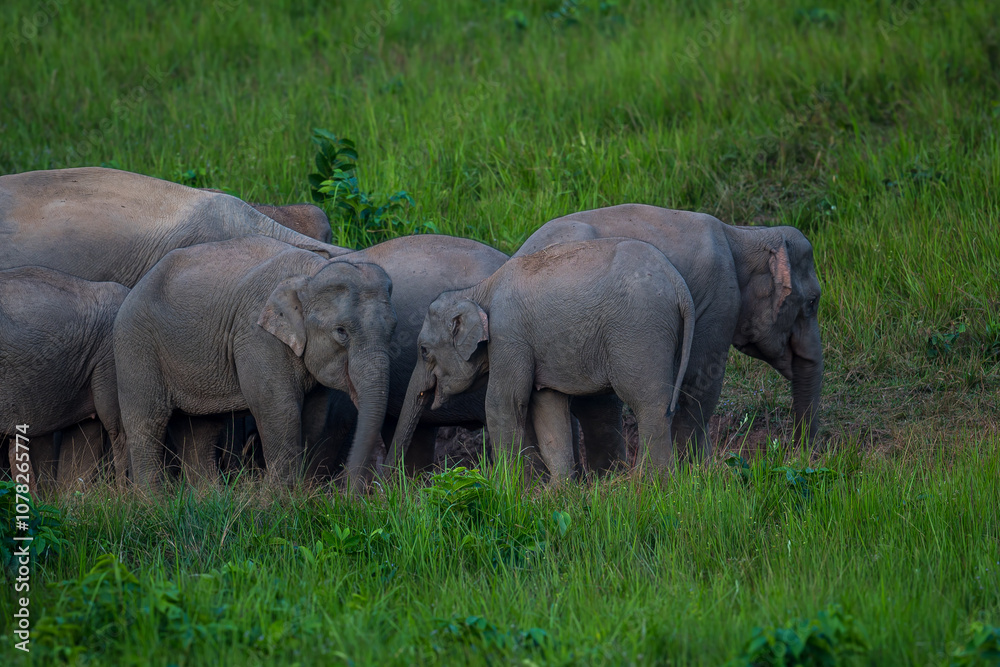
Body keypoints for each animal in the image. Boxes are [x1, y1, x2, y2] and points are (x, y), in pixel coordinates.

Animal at [113, 236, 396, 487]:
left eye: (391, 330)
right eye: (341, 332)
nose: (357, 492)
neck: (311, 273)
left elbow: (313, 416)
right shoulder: (257, 337)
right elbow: (280, 408)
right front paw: (282, 499)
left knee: (200, 430)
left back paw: (209, 498)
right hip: (136, 346)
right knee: (147, 423)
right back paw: (152, 501)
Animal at [391, 238, 695, 478]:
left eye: (423, 350)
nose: (389, 485)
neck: (477, 290)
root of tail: (678, 283)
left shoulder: (509, 337)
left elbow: (502, 404)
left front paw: (505, 491)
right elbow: (548, 407)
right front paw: (558, 494)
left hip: (639, 332)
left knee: (648, 404)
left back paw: (653, 485)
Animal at [513, 204, 823, 462]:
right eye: (812, 302)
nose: (795, 454)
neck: (745, 235)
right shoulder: (719, 298)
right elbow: (699, 383)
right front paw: (697, 472)